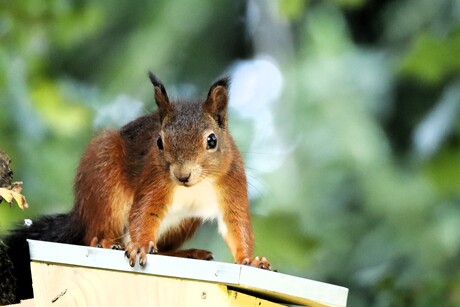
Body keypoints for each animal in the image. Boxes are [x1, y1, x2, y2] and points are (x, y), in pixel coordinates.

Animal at [74, 73, 272, 270]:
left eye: (212, 140)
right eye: (159, 142)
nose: (182, 175)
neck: (198, 183)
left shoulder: (232, 178)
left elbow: (237, 223)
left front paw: (251, 260)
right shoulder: (154, 178)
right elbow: (143, 213)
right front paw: (141, 246)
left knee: (161, 250)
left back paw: (188, 253)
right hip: (103, 176)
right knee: (94, 233)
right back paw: (105, 242)